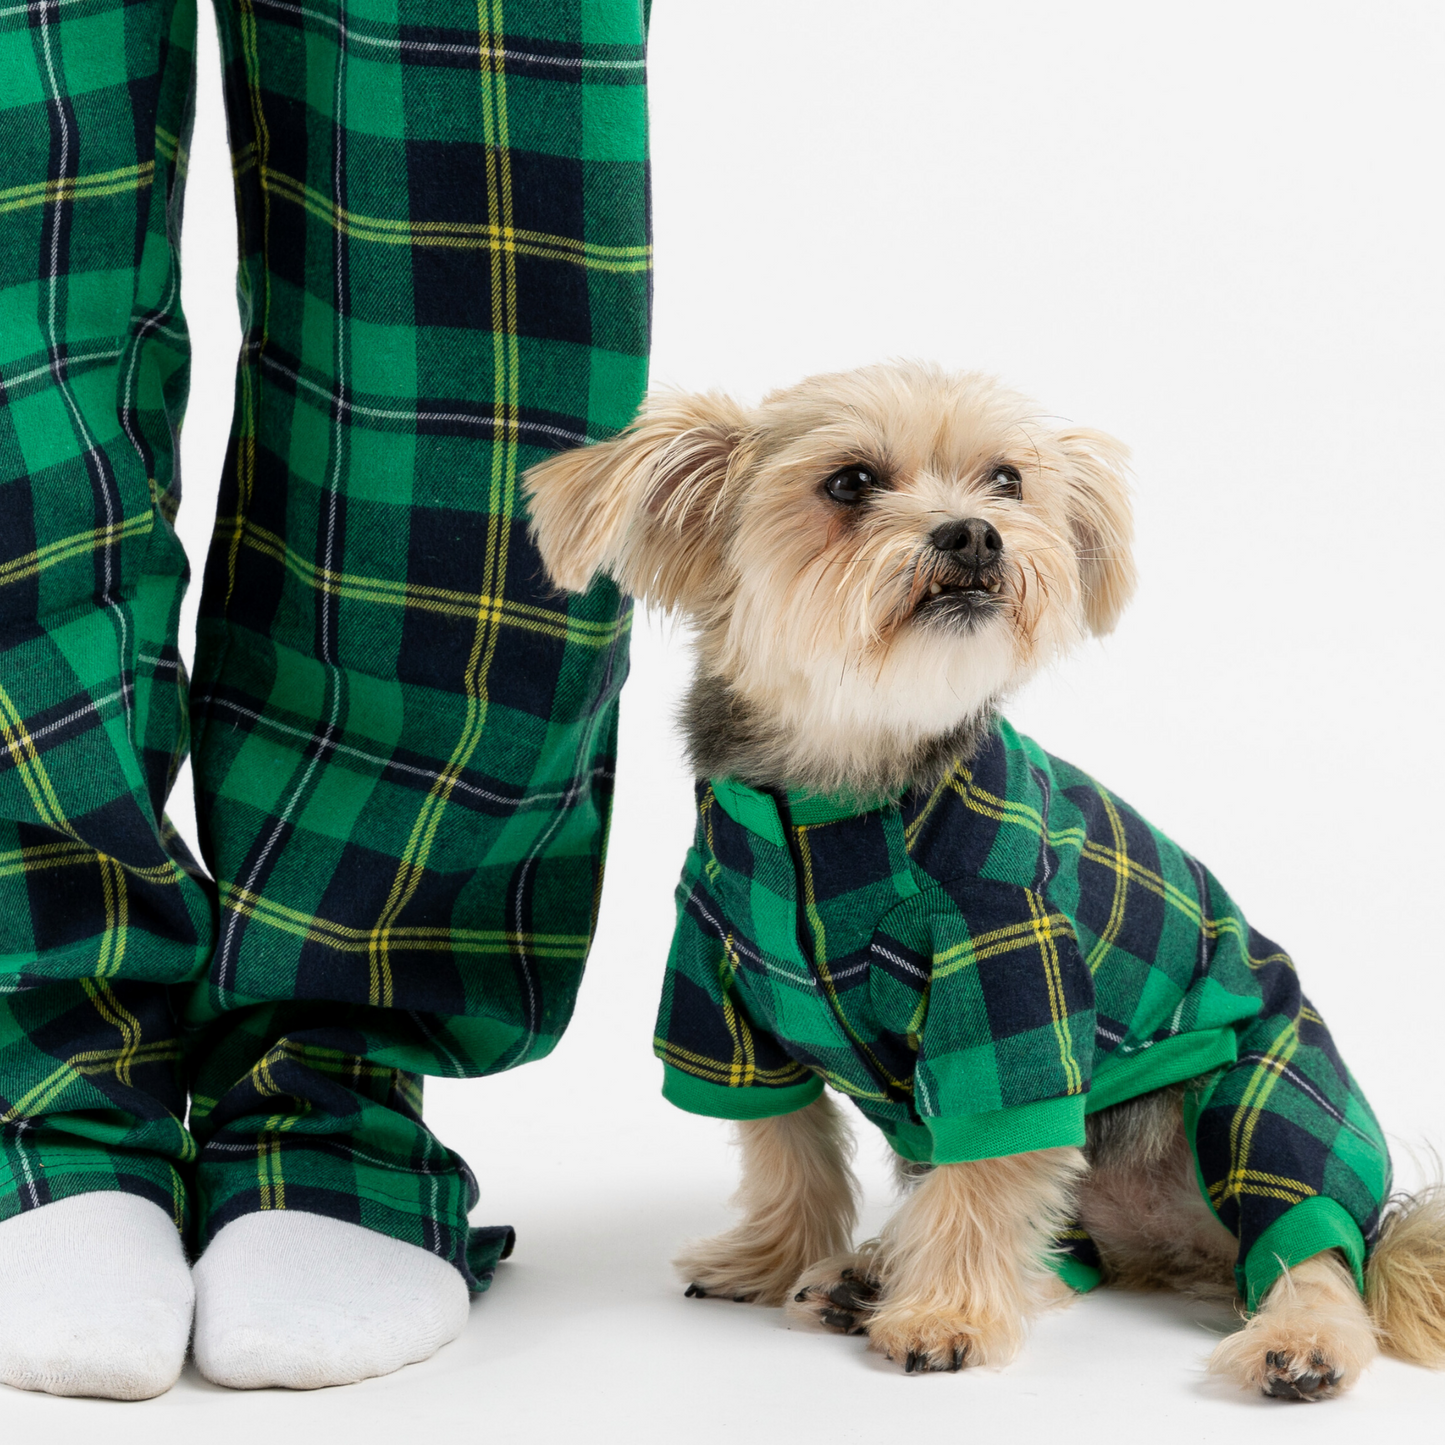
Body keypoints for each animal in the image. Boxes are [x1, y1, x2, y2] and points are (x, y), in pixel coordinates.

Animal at [520, 364, 1445, 1398]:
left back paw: (1302, 1339)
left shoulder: (1006, 980)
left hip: (1259, 1091)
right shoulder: (718, 988)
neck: (836, 801)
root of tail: (1168, 1245)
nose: (973, 533)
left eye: (1006, 479)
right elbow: (788, 1146)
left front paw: (947, 1316)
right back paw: (871, 1271)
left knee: (1306, 1243)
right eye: (848, 482)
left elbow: (985, 1170)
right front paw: (770, 1256)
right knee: (1061, 1247)